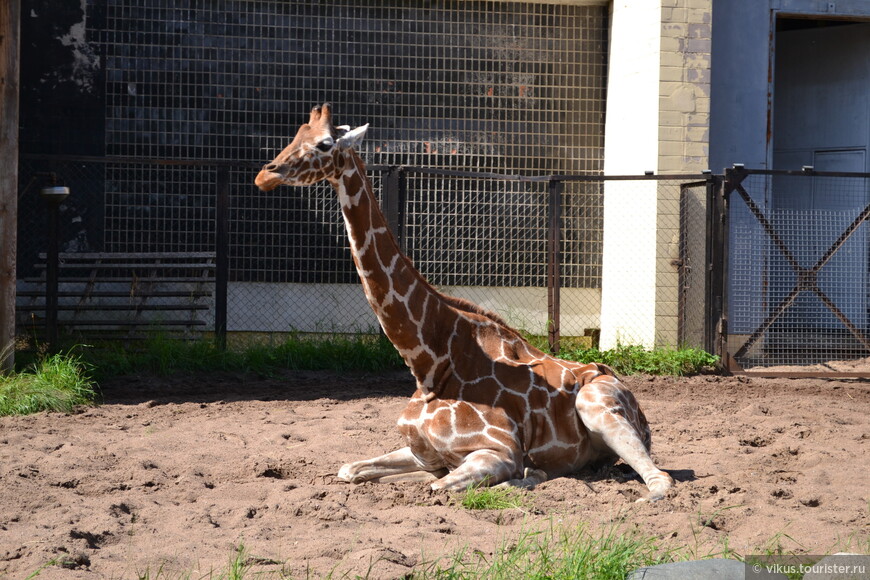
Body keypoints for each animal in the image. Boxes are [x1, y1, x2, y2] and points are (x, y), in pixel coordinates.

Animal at [255, 103, 676, 498]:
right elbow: (352, 470)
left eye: (324, 144)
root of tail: (637, 405)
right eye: (295, 135)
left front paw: (526, 474)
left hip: (598, 406)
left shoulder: (499, 451)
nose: (265, 175)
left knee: (660, 480)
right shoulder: (420, 450)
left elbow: (441, 486)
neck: (428, 363)